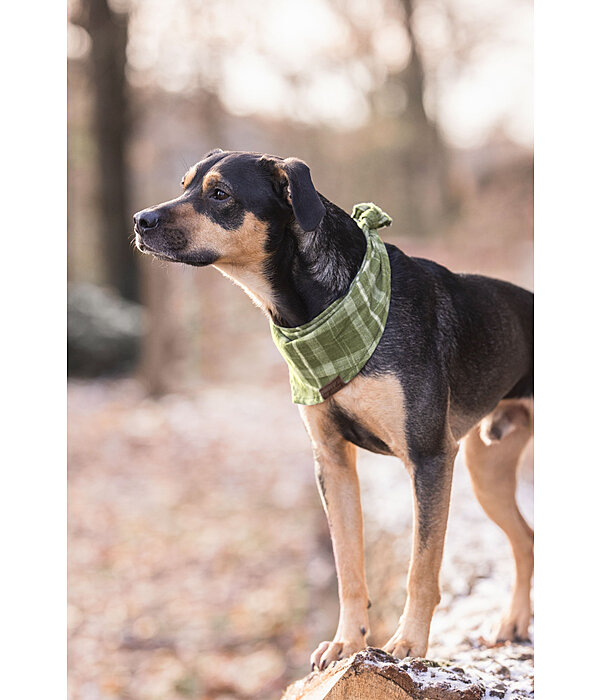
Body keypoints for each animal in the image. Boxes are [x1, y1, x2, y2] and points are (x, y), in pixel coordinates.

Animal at [134, 150, 532, 668]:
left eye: (220, 194)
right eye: (184, 185)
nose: (140, 220)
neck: (325, 307)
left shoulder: (429, 457)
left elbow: (421, 566)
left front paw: (408, 644)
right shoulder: (333, 461)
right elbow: (347, 564)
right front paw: (348, 642)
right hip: (488, 472)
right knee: (526, 540)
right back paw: (514, 622)